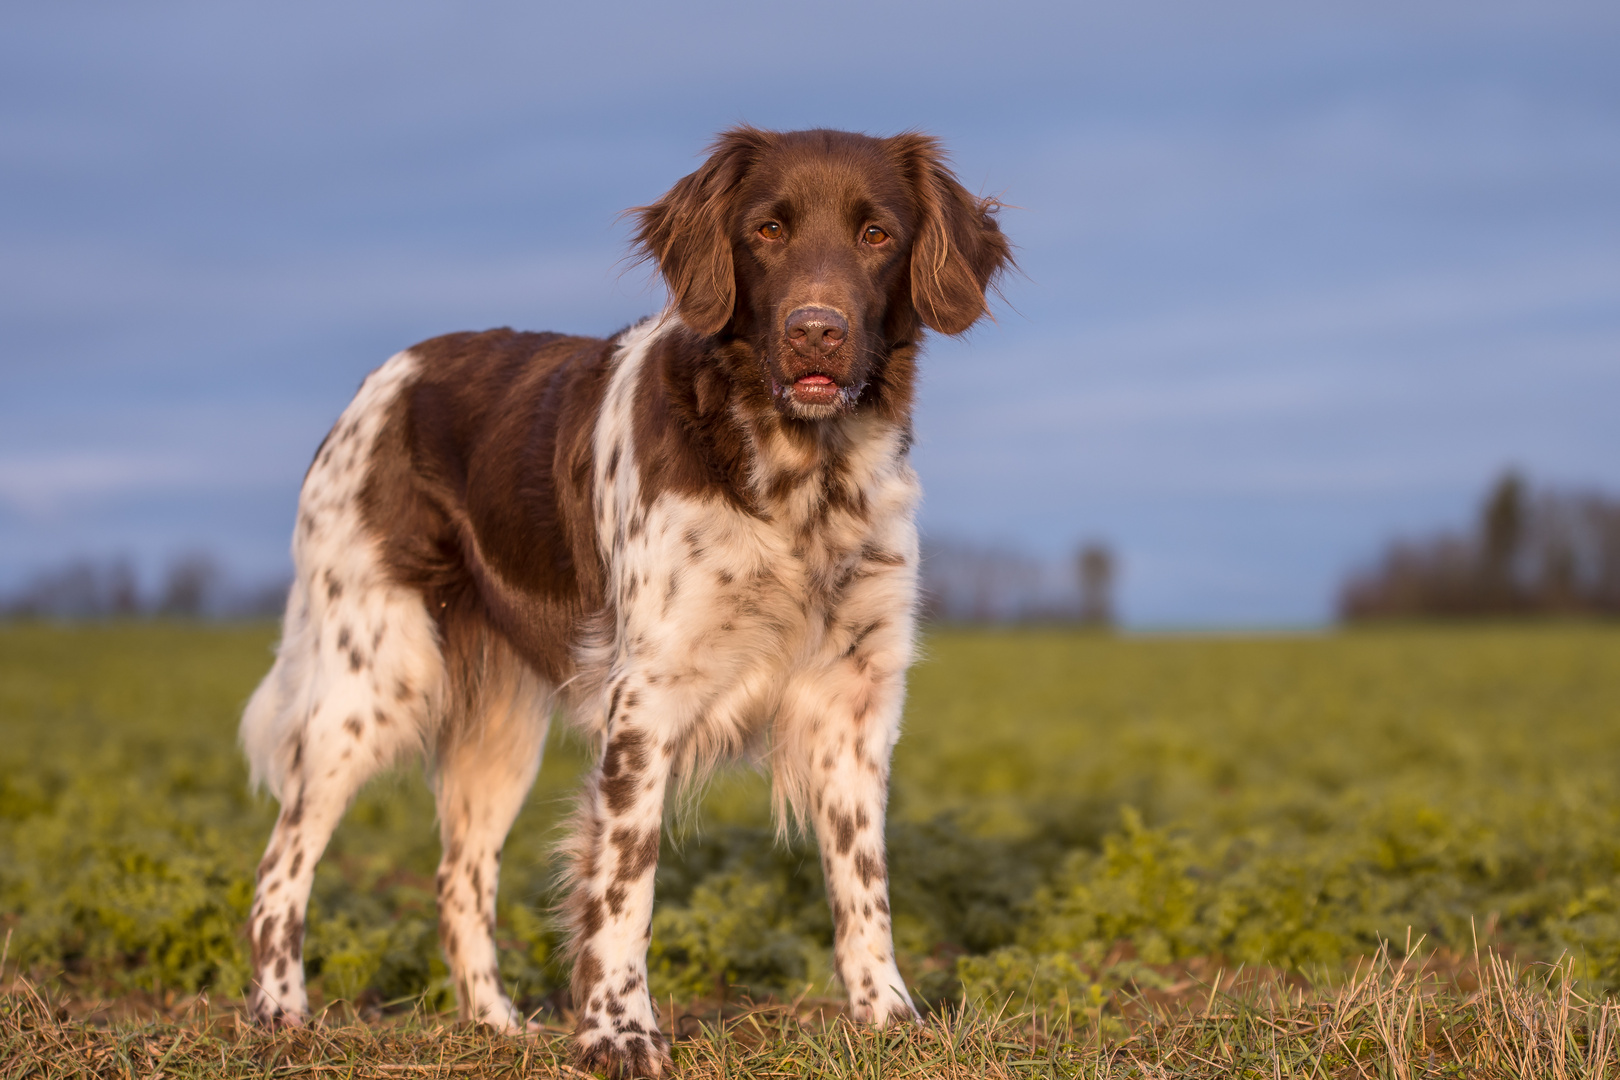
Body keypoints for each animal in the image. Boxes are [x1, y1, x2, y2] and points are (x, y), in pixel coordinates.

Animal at [238, 124, 1004, 1075]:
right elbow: (625, 884)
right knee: (281, 865)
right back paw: (279, 1012)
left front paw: (889, 1019)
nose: (816, 332)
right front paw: (617, 1031)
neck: (801, 479)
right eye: (767, 230)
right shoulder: (646, 699)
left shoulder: (855, 700)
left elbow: (864, 881)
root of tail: (380, 381)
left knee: (459, 877)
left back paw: (494, 1024)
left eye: (877, 235)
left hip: (498, 730)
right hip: (374, 680)